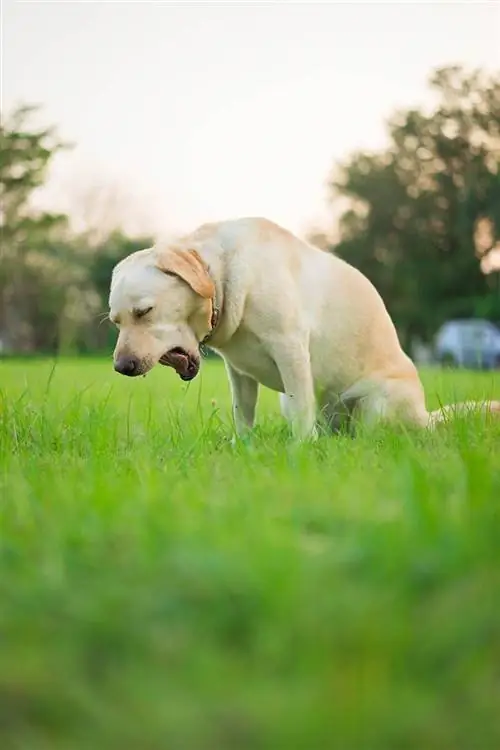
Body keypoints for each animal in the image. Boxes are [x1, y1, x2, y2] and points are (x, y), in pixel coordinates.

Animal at [107, 217, 498, 440]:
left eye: (144, 311)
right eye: (116, 321)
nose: (122, 367)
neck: (221, 274)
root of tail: (425, 418)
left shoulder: (290, 348)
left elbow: (300, 411)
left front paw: (299, 450)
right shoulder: (238, 372)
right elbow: (243, 413)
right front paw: (243, 448)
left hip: (377, 404)